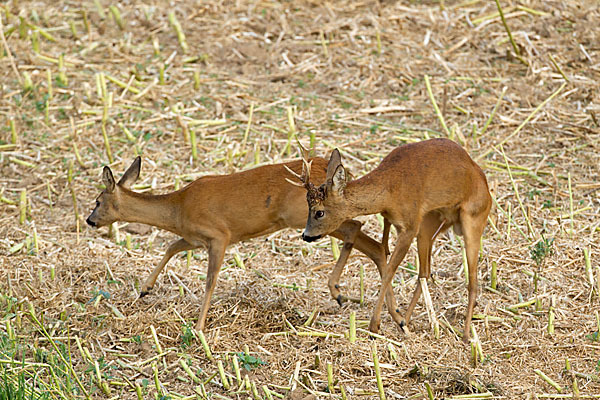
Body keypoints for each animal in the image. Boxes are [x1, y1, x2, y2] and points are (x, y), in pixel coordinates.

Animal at [85, 156, 394, 332]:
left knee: (357, 228)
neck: (178, 207)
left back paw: (342, 293)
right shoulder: (196, 238)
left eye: (98, 201)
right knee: (375, 245)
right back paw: (390, 315)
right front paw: (145, 289)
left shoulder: (219, 236)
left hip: (308, 217)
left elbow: (210, 281)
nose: (90, 220)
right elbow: (171, 246)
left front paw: (199, 327)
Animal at [290, 138, 492, 340]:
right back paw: (407, 322)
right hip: (428, 225)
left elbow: (388, 271)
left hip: (473, 220)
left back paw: (466, 335)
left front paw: (374, 326)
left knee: (472, 281)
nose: (306, 235)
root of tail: (486, 190)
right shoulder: (395, 221)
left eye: (319, 212)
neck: (390, 190)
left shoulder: (409, 227)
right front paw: (396, 319)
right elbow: (384, 256)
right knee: (425, 273)